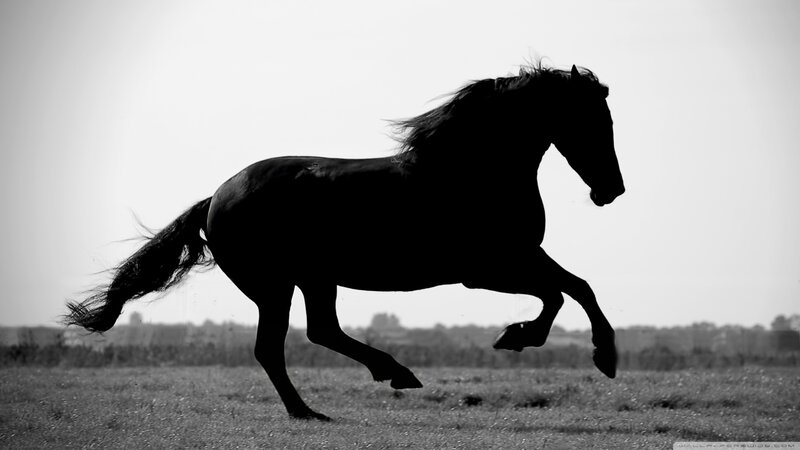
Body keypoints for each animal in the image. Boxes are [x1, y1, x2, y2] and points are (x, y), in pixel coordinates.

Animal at [64, 63, 625, 421]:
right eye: (592, 120)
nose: (611, 190)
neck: (470, 173)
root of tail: (215, 199)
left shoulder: (521, 257)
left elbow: (576, 287)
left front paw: (593, 353)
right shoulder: (486, 269)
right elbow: (561, 294)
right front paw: (535, 340)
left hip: (313, 280)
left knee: (320, 332)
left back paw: (387, 376)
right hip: (275, 285)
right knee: (274, 346)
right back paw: (315, 409)